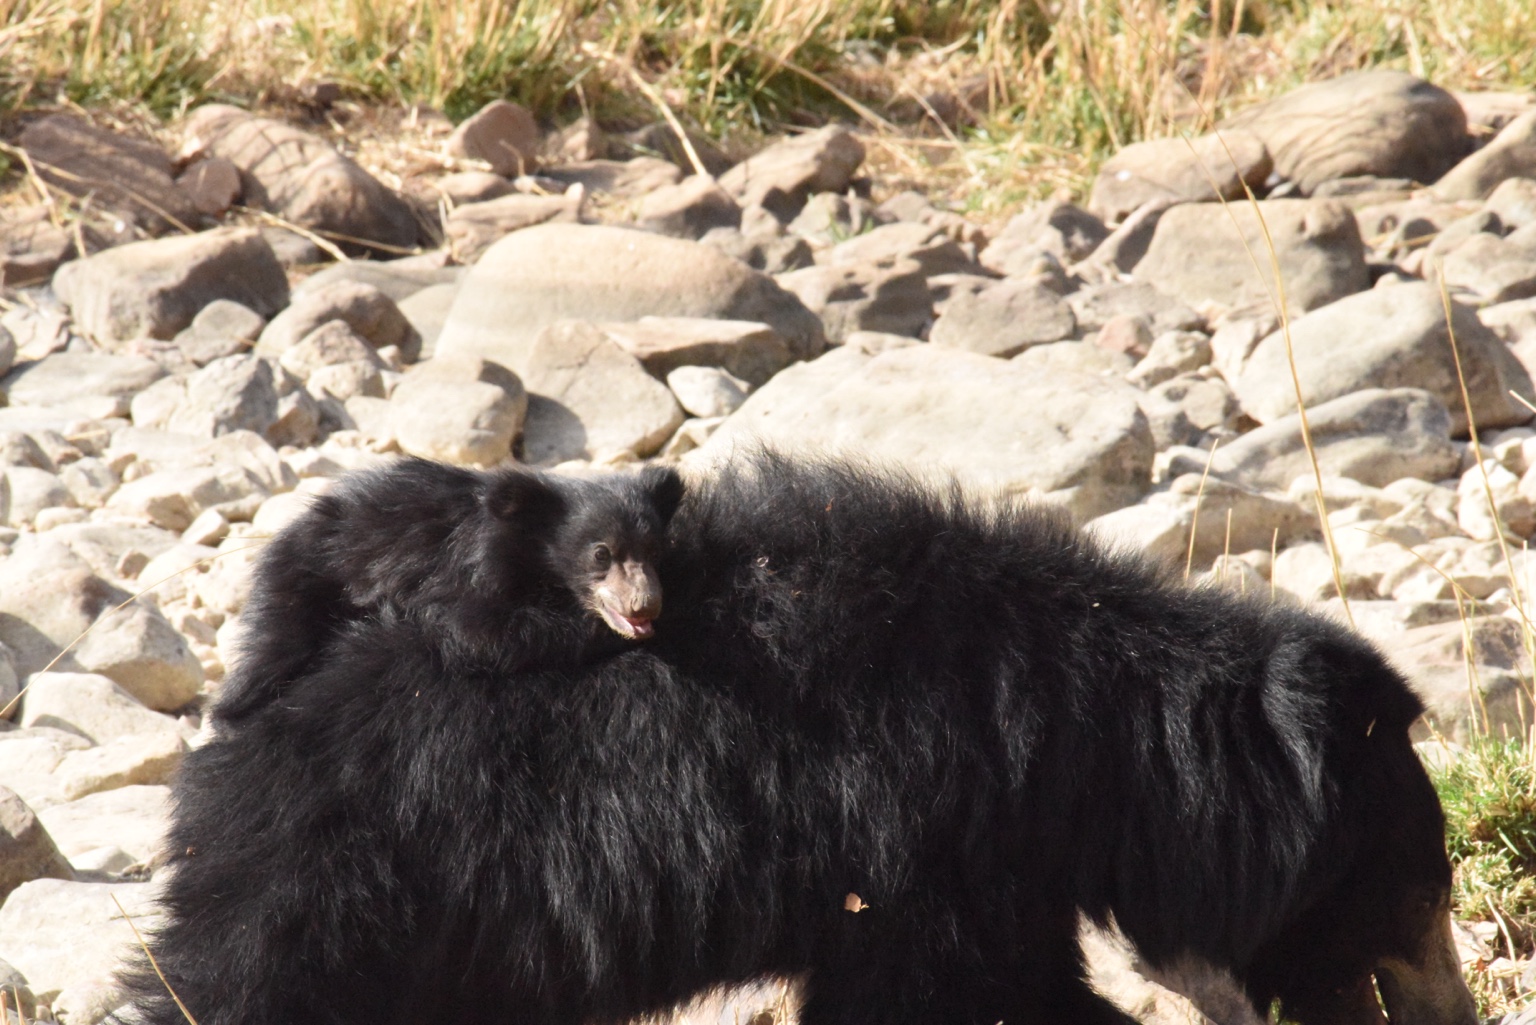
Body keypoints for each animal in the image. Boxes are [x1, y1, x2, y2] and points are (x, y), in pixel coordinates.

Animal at [121, 453, 1477, 1025]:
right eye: (1422, 893)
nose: (1453, 1013)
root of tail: (248, 715)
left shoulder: (987, 861)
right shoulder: (916, 838)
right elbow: (943, 995)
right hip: (359, 876)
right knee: (238, 984)